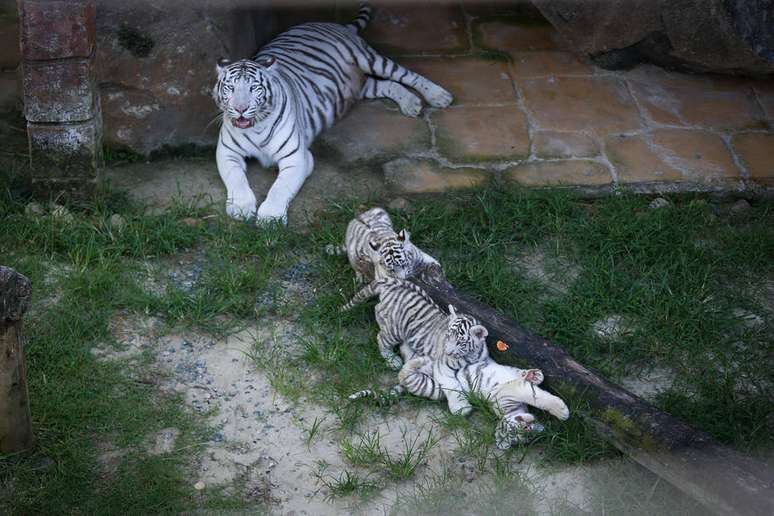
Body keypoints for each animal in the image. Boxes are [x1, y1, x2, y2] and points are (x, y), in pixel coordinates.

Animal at [212, 2, 454, 224]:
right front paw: (241, 208)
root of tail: (330, 23)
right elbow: (236, 179)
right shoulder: (227, 152)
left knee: (406, 75)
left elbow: (279, 187)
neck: (256, 127)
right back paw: (411, 103)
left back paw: (438, 95)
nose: (240, 109)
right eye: (230, 87)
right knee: (390, 86)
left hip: (370, 59)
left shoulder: (297, 158)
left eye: (254, 88)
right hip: (362, 86)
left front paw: (270, 217)